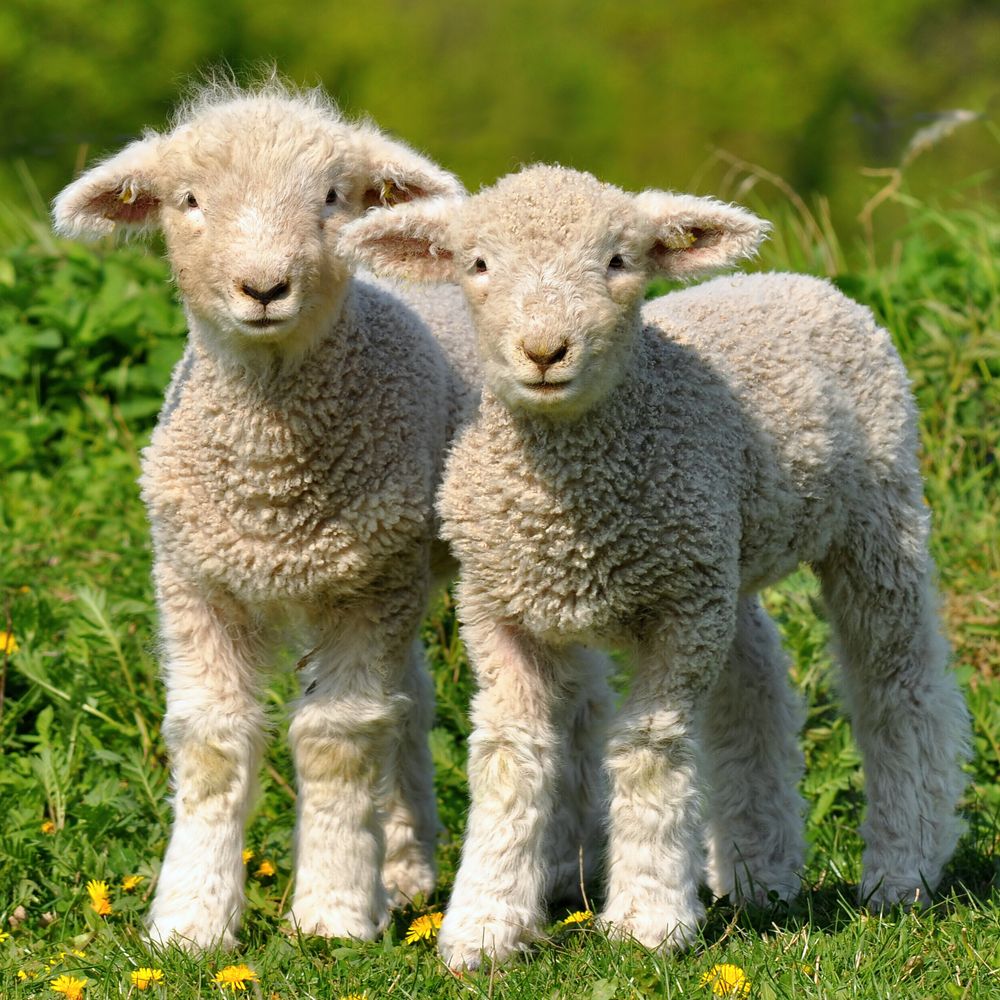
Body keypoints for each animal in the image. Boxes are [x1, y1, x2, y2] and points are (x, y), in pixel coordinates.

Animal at [52, 78, 480, 951]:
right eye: (188, 200)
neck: (269, 486)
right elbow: (213, 743)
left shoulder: (363, 588)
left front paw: (334, 914)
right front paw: (189, 921)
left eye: (333, 197)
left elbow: (336, 740)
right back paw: (404, 863)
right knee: (413, 699)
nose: (263, 288)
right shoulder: (196, 581)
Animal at [339, 164, 971, 968]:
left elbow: (649, 752)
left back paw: (903, 868)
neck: (571, 511)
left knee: (899, 686)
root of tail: (800, 282)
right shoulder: (499, 609)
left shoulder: (680, 613)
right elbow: (510, 758)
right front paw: (484, 926)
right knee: (755, 684)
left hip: (875, 516)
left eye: (618, 260)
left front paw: (647, 921)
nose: (545, 350)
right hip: (725, 552)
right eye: (477, 264)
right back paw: (759, 873)